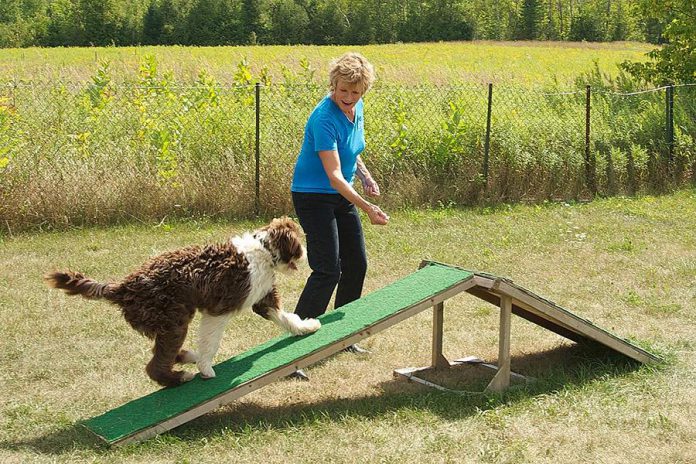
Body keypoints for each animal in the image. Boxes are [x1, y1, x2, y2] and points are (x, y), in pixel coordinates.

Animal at [44, 218, 322, 388]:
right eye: (300, 241)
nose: (308, 253)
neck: (262, 251)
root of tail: (122, 286)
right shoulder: (218, 309)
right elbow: (211, 341)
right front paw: (206, 368)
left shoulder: (262, 298)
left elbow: (285, 317)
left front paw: (305, 327)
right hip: (173, 321)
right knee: (154, 365)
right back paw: (182, 375)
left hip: (164, 322)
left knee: (162, 354)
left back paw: (188, 357)